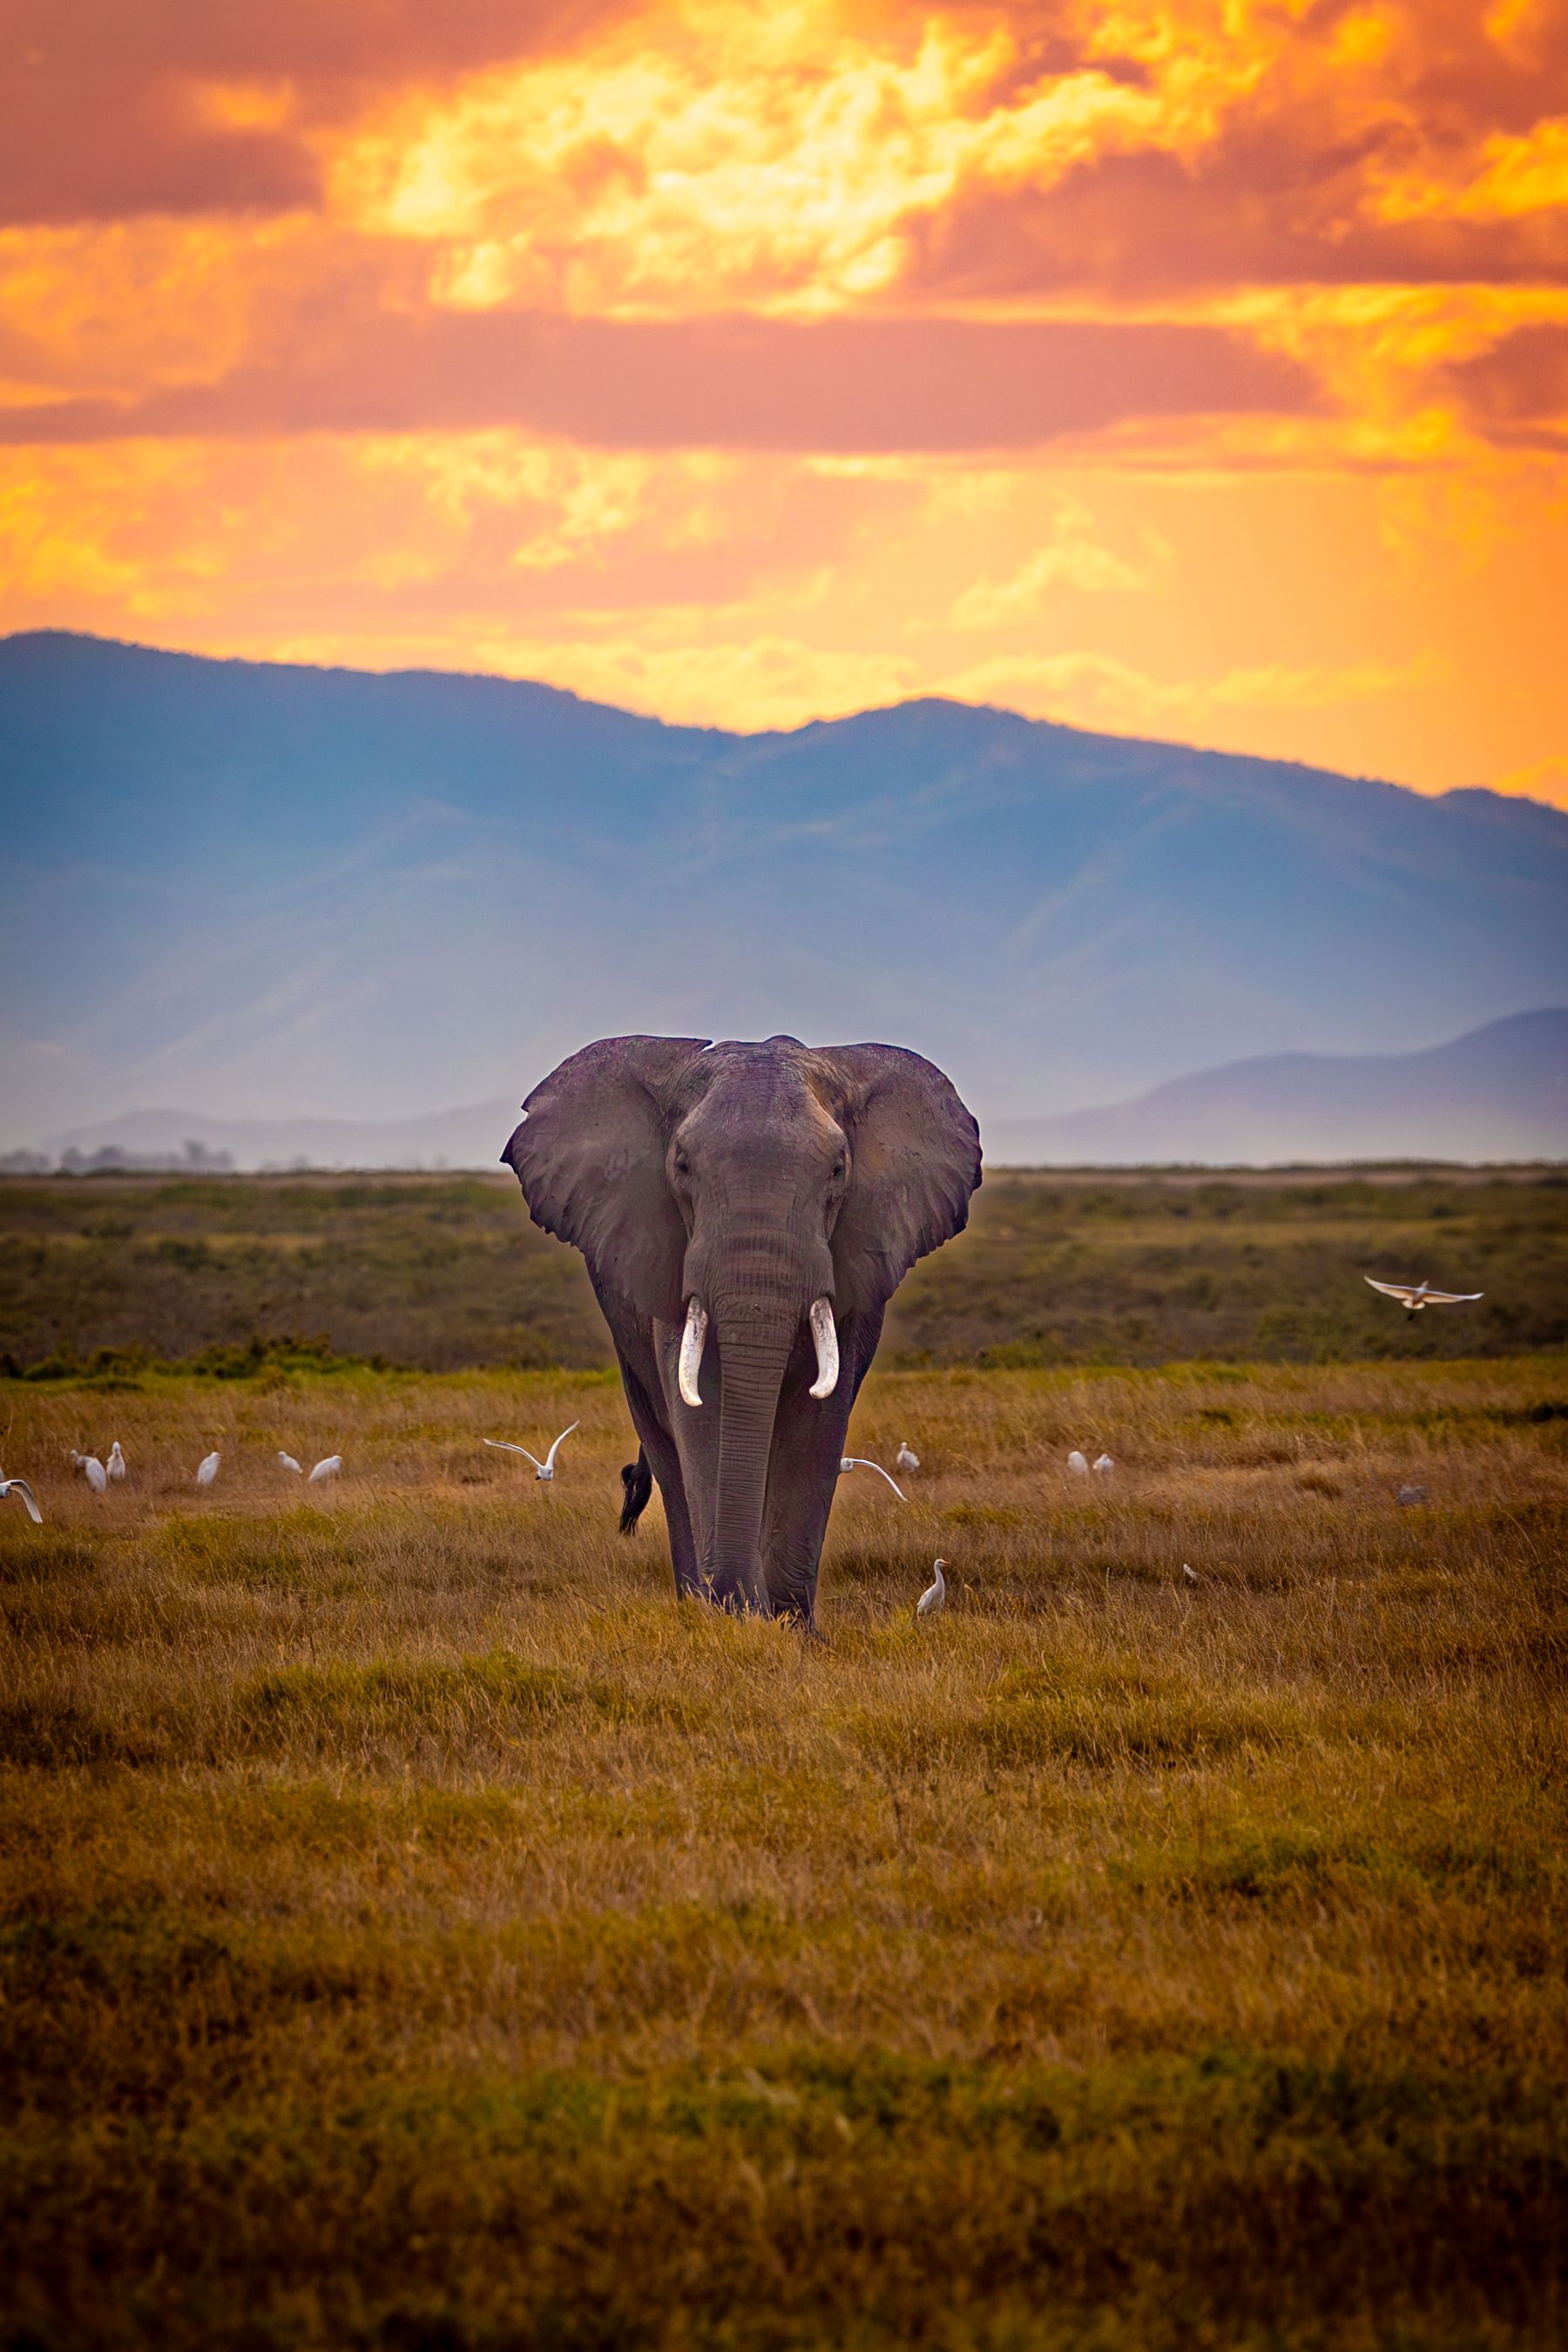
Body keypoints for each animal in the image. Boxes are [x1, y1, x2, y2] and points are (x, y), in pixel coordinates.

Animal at [503, 1039, 983, 1627]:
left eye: (838, 1170)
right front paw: (738, 1620)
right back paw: (696, 1601)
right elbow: (700, 1404)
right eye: (682, 1166)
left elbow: (817, 1420)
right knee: (668, 1453)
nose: (735, 1600)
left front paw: (792, 1630)